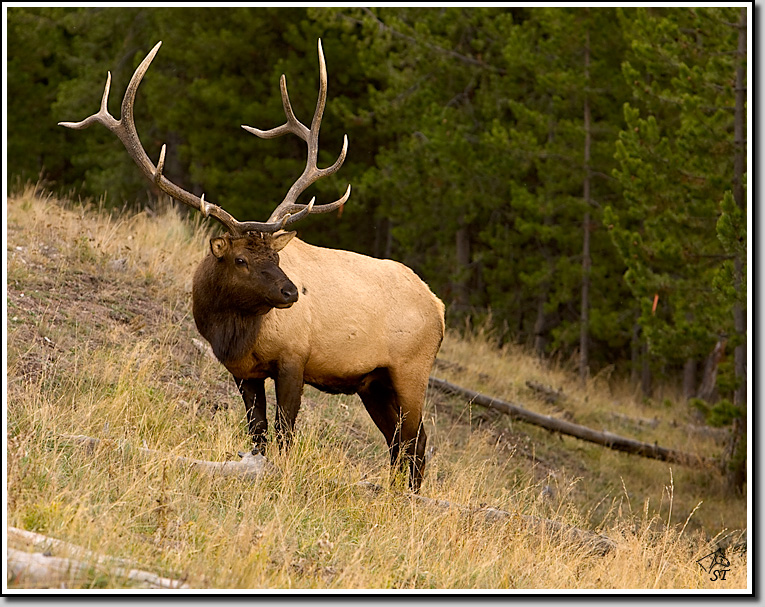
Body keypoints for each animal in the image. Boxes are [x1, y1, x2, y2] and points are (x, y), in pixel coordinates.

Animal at [60, 40, 445, 492]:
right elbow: (257, 433)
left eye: (276, 257)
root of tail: (439, 308)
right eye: (241, 259)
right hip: (375, 383)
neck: (232, 331)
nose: (291, 292)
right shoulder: (243, 371)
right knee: (402, 444)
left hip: (411, 369)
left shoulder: (295, 357)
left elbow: (285, 433)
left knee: (416, 442)